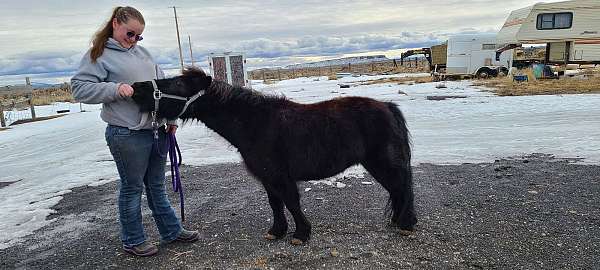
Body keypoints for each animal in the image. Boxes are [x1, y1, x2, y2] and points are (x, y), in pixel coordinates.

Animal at [132, 68, 418, 245]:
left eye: (178, 83)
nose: (136, 88)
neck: (255, 124)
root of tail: (388, 107)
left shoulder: (281, 176)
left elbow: (291, 202)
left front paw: (301, 234)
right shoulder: (268, 178)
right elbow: (276, 204)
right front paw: (277, 232)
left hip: (382, 163)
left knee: (401, 188)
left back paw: (406, 224)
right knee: (398, 190)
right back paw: (398, 221)